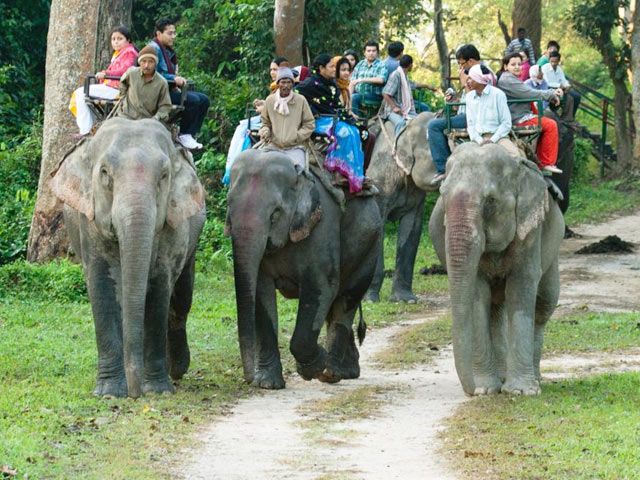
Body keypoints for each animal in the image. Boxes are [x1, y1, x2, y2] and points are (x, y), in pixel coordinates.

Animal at [51, 117, 206, 398]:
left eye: (164, 176)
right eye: (104, 173)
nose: (136, 394)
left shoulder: (174, 224)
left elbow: (159, 287)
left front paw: (157, 390)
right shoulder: (87, 221)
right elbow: (101, 284)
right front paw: (110, 392)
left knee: (181, 300)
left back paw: (176, 369)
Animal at [225, 149, 381, 389]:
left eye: (275, 214)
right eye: (228, 208)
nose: (248, 379)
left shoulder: (322, 227)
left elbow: (321, 287)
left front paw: (314, 367)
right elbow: (261, 293)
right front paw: (267, 384)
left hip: (370, 247)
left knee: (346, 300)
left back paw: (331, 372)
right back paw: (347, 371)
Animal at [428, 143, 564, 396]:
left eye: (490, 201)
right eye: (442, 195)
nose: (470, 391)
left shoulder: (530, 232)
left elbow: (521, 288)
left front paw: (521, 392)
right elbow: (477, 295)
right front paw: (485, 390)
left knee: (544, 304)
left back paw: (536, 380)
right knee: (496, 308)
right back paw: (501, 379)